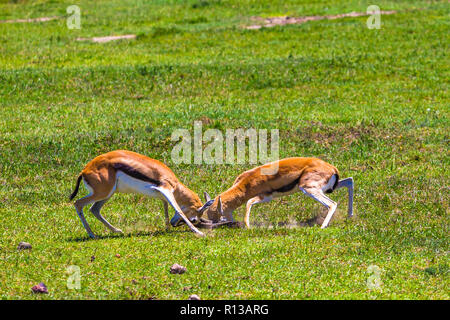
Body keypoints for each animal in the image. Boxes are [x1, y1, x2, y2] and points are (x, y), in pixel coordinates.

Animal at [69, 150, 213, 238]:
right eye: (194, 220)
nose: (173, 224)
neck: (175, 184)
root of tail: (84, 170)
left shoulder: (163, 195)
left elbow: (166, 208)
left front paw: (166, 228)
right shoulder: (166, 190)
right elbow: (179, 209)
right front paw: (198, 232)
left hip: (108, 194)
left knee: (94, 209)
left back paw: (117, 230)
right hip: (103, 193)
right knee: (78, 203)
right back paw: (92, 234)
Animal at [201, 157, 356, 228]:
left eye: (218, 216)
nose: (214, 226)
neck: (247, 182)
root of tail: (332, 168)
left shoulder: (265, 196)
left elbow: (249, 202)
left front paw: (248, 226)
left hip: (309, 189)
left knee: (332, 204)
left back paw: (323, 226)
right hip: (327, 189)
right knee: (350, 181)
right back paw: (349, 216)